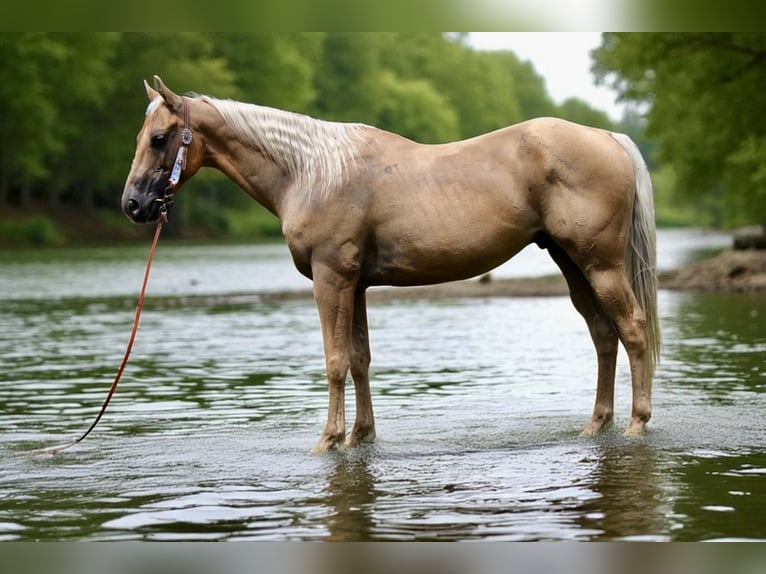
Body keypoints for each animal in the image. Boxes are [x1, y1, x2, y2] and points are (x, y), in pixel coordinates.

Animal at [122, 76, 660, 454]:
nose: (133, 204)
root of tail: (607, 137)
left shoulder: (331, 279)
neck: (310, 173)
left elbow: (335, 362)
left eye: (160, 137)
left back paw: (636, 424)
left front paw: (328, 441)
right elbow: (360, 359)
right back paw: (596, 425)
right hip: (572, 264)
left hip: (600, 265)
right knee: (603, 334)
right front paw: (360, 435)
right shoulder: (355, 285)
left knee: (632, 329)